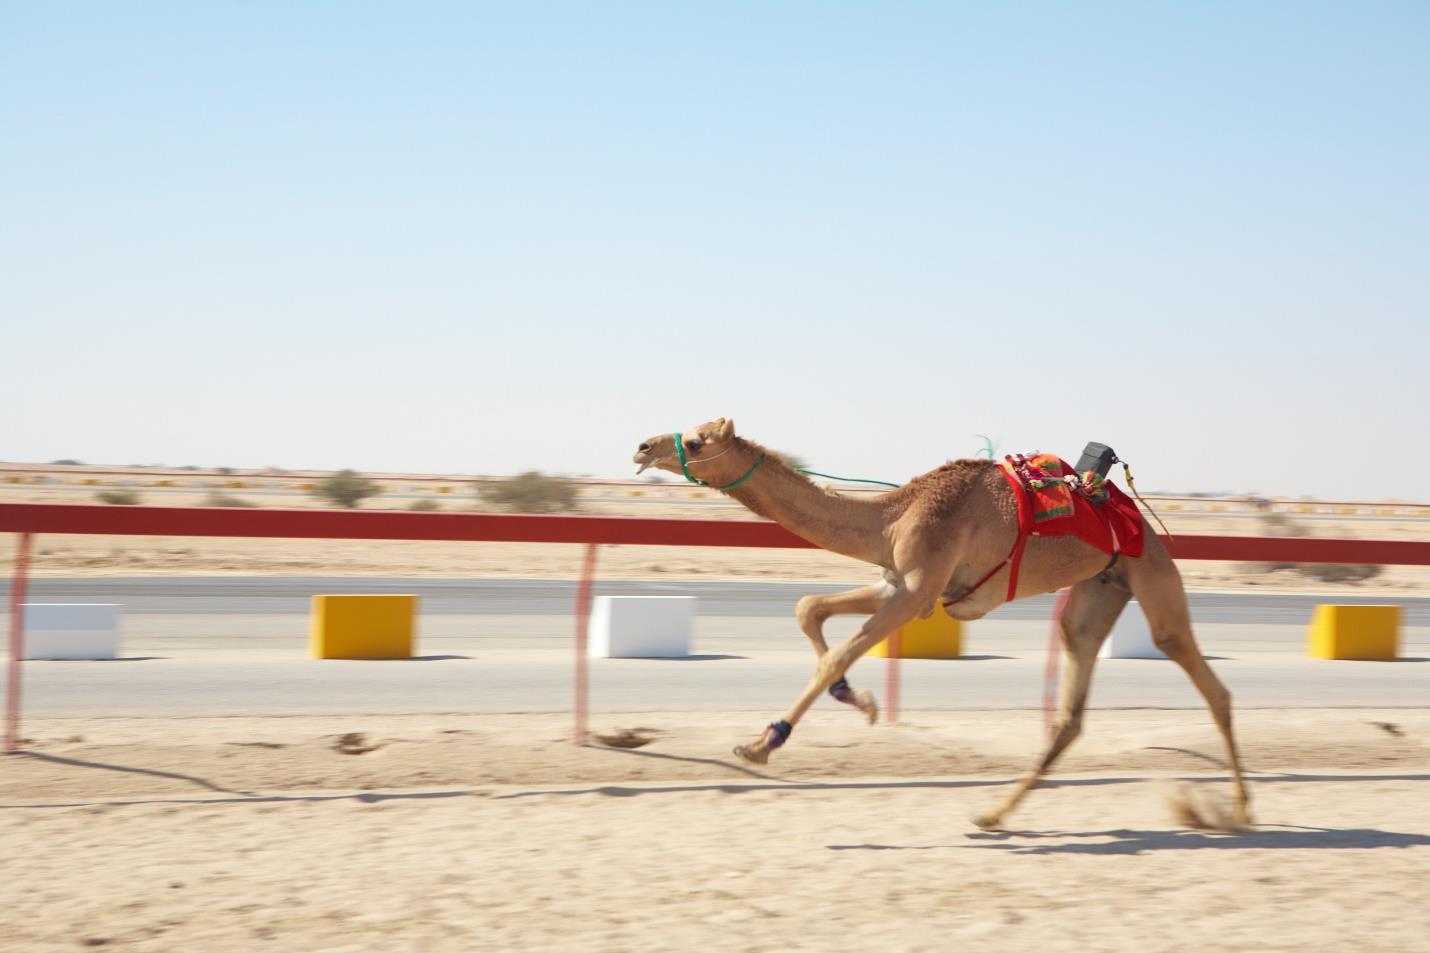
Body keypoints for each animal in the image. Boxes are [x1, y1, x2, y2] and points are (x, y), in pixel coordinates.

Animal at [633, 418, 1251, 831]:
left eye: (696, 440)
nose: (642, 444)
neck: (891, 516)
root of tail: (1139, 518)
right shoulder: (899, 582)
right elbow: (808, 608)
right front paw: (860, 701)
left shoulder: (917, 589)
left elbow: (837, 651)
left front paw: (762, 745)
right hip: (1100, 587)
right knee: (1072, 703)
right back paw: (993, 814)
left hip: (1150, 572)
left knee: (1202, 675)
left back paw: (1242, 809)